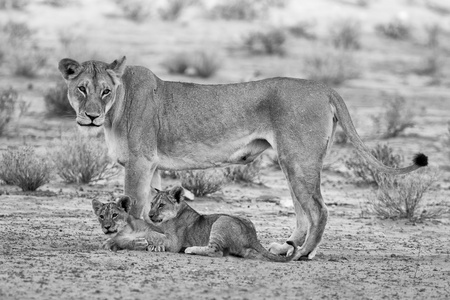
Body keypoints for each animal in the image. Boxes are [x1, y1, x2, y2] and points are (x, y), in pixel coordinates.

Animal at [58, 56, 428, 260]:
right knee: (303, 209)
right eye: (82, 89)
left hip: (299, 159)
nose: (91, 116)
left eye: (105, 90)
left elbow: (134, 207)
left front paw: (122, 238)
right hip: (291, 161)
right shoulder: (154, 166)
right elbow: (153, 206)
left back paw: (304, 253)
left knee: (319, 209)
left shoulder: (139, 162)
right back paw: (287, 246)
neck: (115, 110)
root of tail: (324, 87)